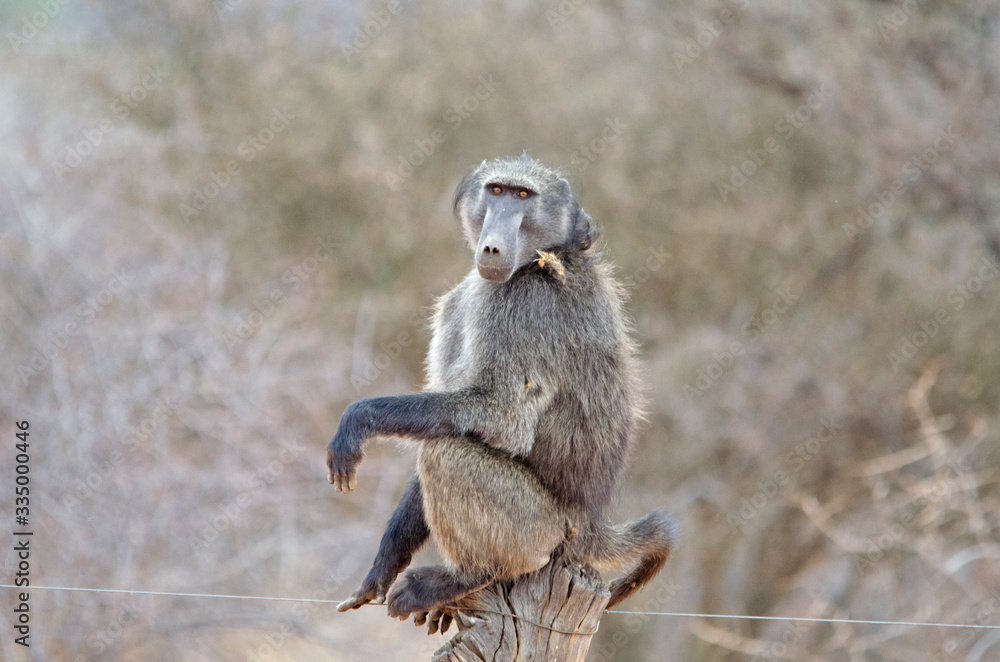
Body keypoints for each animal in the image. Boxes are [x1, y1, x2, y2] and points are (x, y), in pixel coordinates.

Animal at [328, 154, 676, 623]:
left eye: (524, 195)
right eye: (496, 191)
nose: (492, 247)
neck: (546, 257)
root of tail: (588, 523)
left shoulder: (521, 305)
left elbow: (499, 415)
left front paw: (357, 421)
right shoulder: (459, 303)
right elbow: (456, 413)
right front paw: (382, 568)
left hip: (540, 530)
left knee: (446, 453)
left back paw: (469, 576)